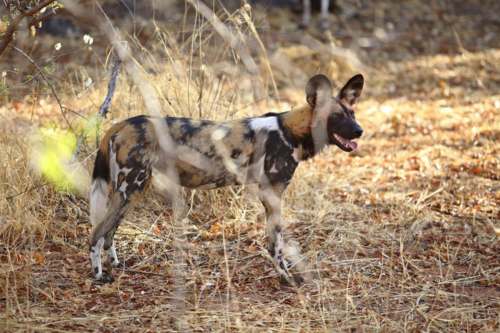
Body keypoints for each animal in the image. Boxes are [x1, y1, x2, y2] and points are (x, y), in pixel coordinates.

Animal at [90, 72, 364, 282]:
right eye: (337, 116)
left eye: (352, 113)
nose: (359, 131)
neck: (290, 132)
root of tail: (119, 125)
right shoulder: (272, 195)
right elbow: (276, 244)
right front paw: (285, 277)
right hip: (130, 190)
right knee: (96, 233)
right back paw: (99, 275)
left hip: (131, 193)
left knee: (109, 233)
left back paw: (116, 264)